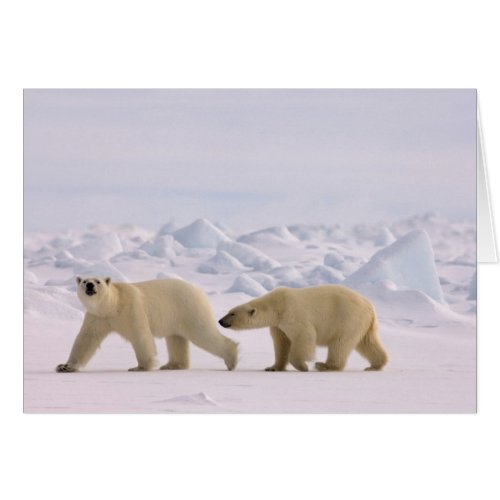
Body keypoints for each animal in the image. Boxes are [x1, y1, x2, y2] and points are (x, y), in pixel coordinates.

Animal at [55, 276, 239, 374]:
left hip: (188, 308)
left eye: (98, 281)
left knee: (203, 333)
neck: (113, 305)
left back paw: (231, 360)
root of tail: (199, 291)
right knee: (176, 339)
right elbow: (86, 339)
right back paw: (172, 365)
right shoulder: (97, 317)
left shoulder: (131, 309)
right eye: (84, 280)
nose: (90, 285)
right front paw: (65, 366)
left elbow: (140, 335)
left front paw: (140, 367)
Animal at [219, 286, 386, 372]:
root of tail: (370, 307)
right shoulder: (278, 324)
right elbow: (281, 343)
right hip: (363, 324)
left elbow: (304, 336)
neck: (277, 306)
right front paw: (273, 367)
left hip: (347, 319)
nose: (220, 321)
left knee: (340, 343)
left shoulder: (292, 313)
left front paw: (302, 366)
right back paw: (375, 365)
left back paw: (324, 365)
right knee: (368, 342)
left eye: (232, 313)